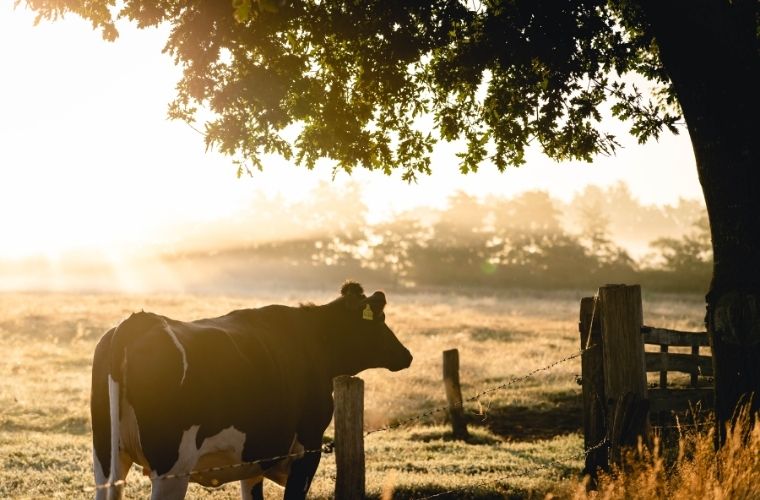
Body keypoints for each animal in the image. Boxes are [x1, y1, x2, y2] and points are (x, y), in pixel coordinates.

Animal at [91, 282, 412, 500]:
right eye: (380, 320)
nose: (406, 355)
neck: (313, 340)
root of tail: (138, 321)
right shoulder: (307, 449)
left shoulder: (255, 458)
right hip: (171, 468)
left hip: (106, 459)